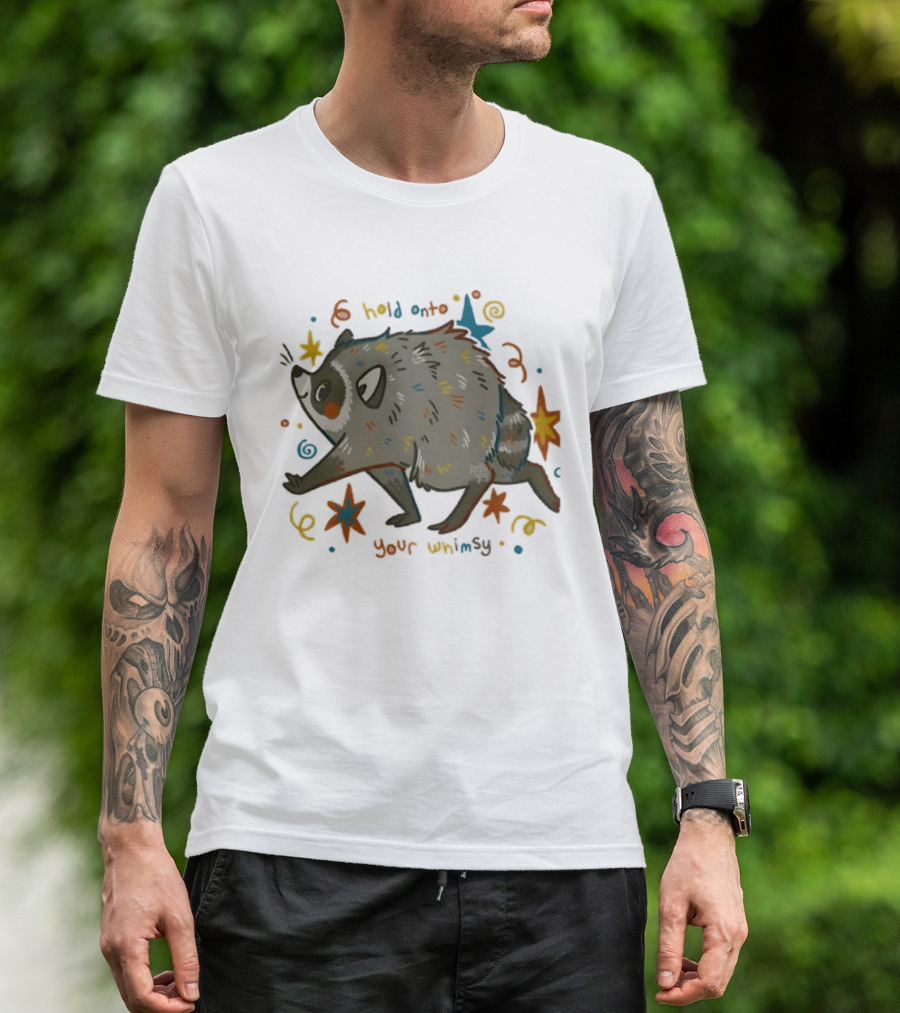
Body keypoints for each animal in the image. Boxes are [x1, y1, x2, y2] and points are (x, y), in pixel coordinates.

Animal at [284, 321, 560, 533]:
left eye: (323, 390)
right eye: (319, 368)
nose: (296, 372)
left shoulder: (376, 433)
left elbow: (343, 461)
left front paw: (307, 479)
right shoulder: (385, 444)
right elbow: (388, 474)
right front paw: (411, 510)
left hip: (452, 439)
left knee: (461, 473)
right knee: (503, 470)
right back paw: (533, 472)